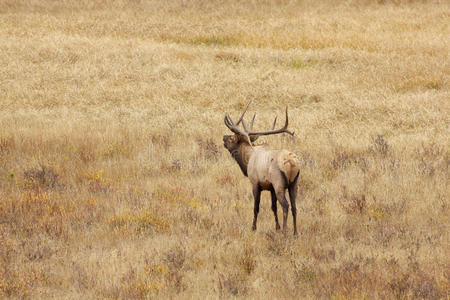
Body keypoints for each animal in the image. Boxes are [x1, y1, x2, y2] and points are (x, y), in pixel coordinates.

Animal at [223, 102, 300, 234]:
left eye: (232, 138)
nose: (223, 137)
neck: (248, 159)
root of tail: (291, 162)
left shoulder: (255, 182)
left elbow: (256, 207)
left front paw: (253, 227)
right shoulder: (271, 187)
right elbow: (273, 207)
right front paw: (277, 227)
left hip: (279, 183)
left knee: (286, 206)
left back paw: (285, 232)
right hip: (293, 183)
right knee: (294, 207)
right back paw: (295, 233)